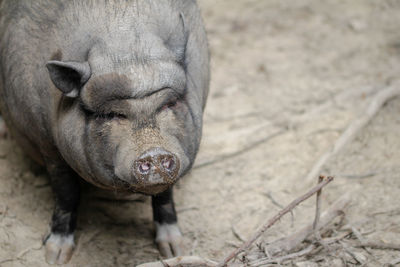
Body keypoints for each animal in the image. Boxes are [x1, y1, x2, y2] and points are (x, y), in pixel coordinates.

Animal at [0, 0, 208, 264]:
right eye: (112, 115)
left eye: (169, 104)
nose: (154, 152)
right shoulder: (48, 146)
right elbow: (66, 193)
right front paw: (56, 257)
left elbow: (165, 195)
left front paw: (175, 251)